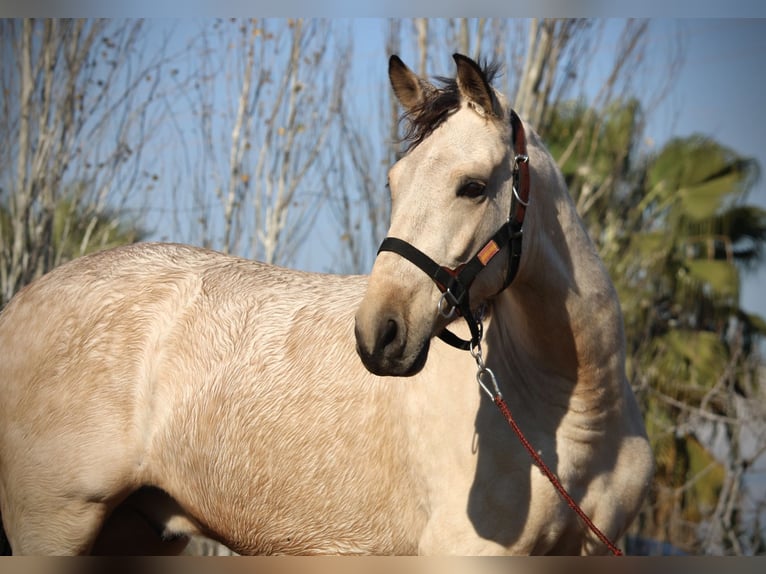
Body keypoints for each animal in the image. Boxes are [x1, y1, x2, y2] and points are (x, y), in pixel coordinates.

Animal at [0, 54, 656, 560]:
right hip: (54, 527)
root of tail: (18, 307)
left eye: (472, 186)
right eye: (393, 183)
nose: (378, 334)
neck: (568, 407)